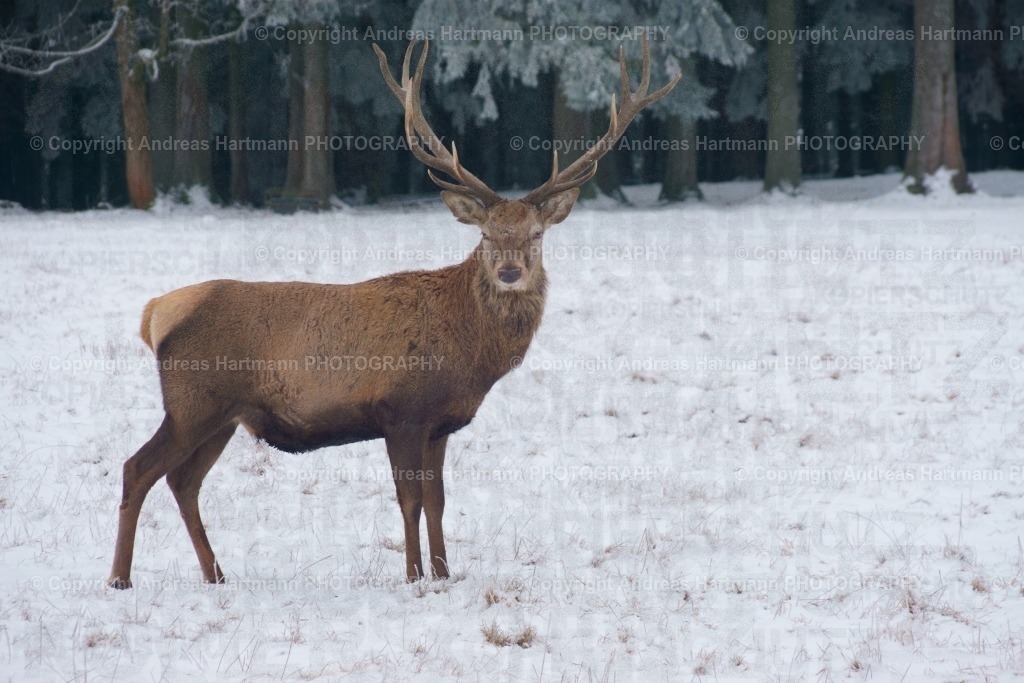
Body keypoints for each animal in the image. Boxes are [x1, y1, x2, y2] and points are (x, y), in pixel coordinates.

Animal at [107, 37, 678, 588]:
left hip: (222, 415)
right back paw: (120, 578)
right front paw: (412, 576)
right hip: (193, 401)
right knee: (138, 468)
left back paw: (216, 574)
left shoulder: (440, 424)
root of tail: (154, 314)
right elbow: (409, 501)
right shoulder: (400, 411)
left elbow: (438, 501)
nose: (511, 271)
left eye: (536, 235)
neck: (470, 354)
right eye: (486, 235)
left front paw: (445, 573)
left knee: (183, 481)